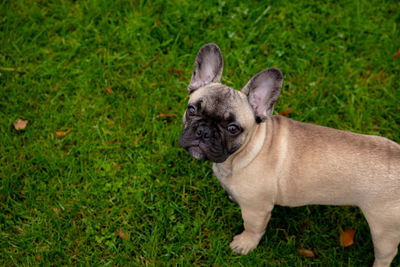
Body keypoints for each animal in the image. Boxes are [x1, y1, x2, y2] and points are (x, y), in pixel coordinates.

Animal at [179, 43, 400, 266]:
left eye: (233, 129)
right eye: (191, 110)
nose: (204, 131)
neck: (249, 150)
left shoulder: (256, 209)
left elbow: (252, 228)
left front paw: (245, 244)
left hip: (384, 230)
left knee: (386, 254)